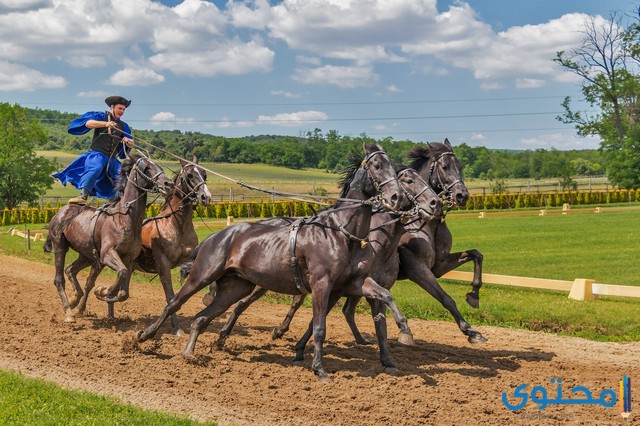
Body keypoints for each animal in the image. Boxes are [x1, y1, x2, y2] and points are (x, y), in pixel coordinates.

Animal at [132, 155, 212, 334]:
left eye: (204, 174)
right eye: (189, 175)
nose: (206, 197)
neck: (177, 224)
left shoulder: (189, 260)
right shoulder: (163, 266)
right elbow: (170, 296)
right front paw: (176, 329)